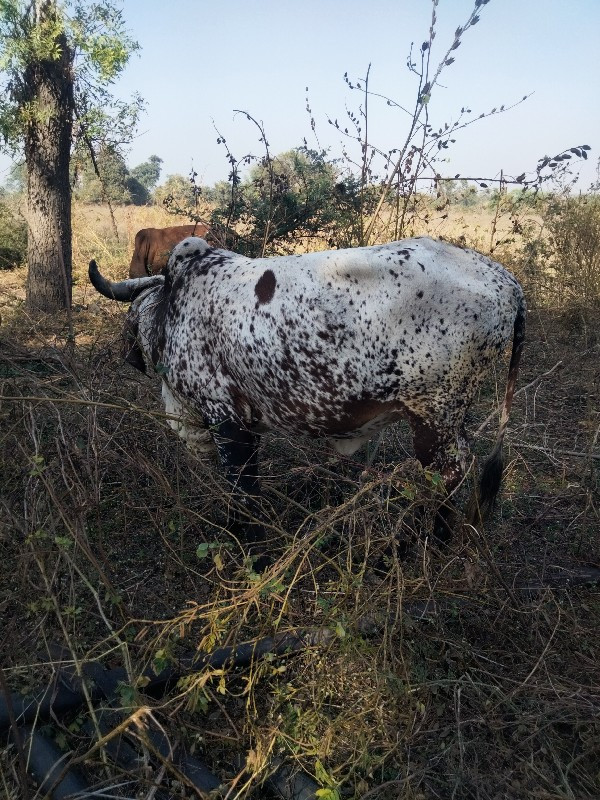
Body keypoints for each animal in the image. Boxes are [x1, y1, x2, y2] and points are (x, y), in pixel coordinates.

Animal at [89, 234, 524, 560]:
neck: (174, 307)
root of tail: (505, 280)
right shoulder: (248, 424)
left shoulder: (225, 418)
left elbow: (241, 489)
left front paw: (246, 544)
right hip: (450, 417)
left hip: (435, 417)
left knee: (449, 473)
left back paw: (426, 542)